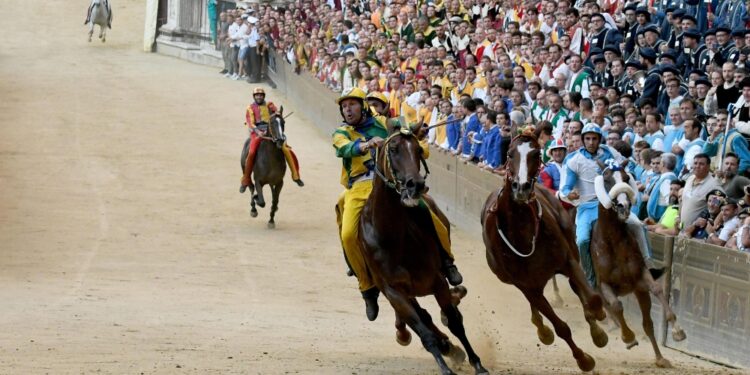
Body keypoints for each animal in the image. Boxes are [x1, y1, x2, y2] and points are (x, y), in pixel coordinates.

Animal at [362, 124, 490, 375]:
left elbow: (455, 322)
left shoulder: (436, 281)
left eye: (418, 150)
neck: (391, 237)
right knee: (425, 318)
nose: (416, 184)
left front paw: (477, 362)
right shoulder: (395, 292)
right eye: (393, 149)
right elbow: (424, 331)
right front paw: (445, 365)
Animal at [482, 133, 612, 374]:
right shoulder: (525, 284)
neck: (521, 230)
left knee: (577, 289)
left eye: (535, 153)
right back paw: (542, 329)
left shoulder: (568, 261)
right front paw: (584, 360)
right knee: (537, 307)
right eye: (509, 154)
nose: (521, 187)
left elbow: (592, 299)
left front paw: (598, 326)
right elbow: (560, 327)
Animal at [592, 160, 688, 368]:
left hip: (638, 291)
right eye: (607, 179)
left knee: (647, 324)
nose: (623, 206)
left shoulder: (640, 278)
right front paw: (628, 337)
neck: (613, 241)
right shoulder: (604, 283)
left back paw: (660, 358)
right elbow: (617, 305)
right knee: (608, 307)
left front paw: (677, 330)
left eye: (626, 178)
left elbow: (657, 289)